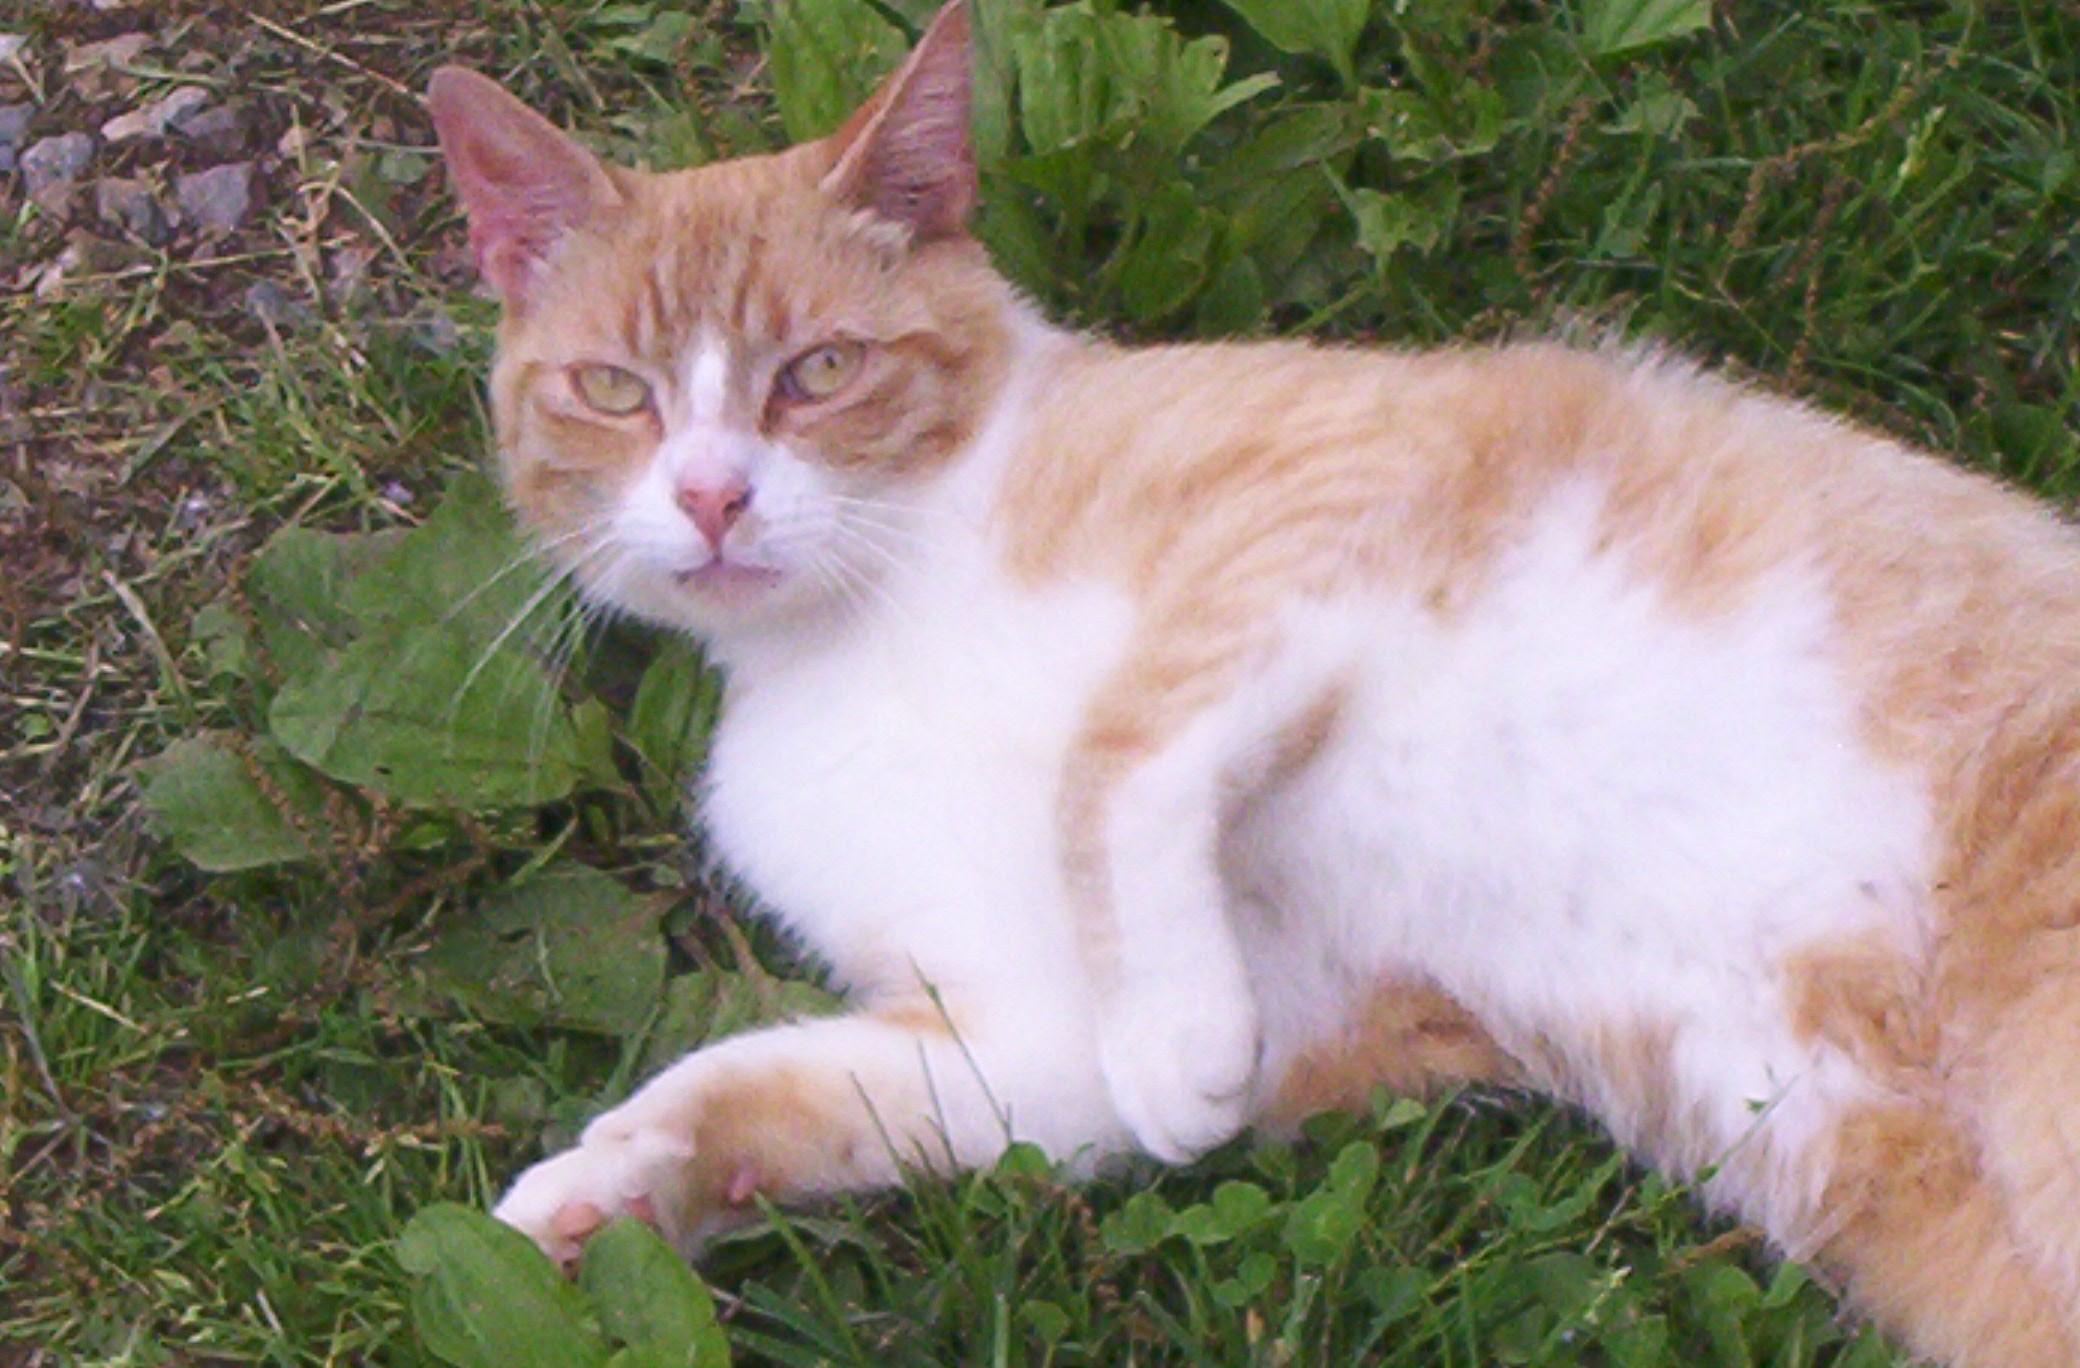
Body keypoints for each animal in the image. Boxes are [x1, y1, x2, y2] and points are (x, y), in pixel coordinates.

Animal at [426, 5, 2080, 1355]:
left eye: (820, 371)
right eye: (615, 391)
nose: (712, 496)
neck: (868, 621)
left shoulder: (1337, 477)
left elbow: (1115, 754)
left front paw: (1183, 1042)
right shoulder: (1022, 1036)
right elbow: (775, 1085)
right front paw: (609, 1193)